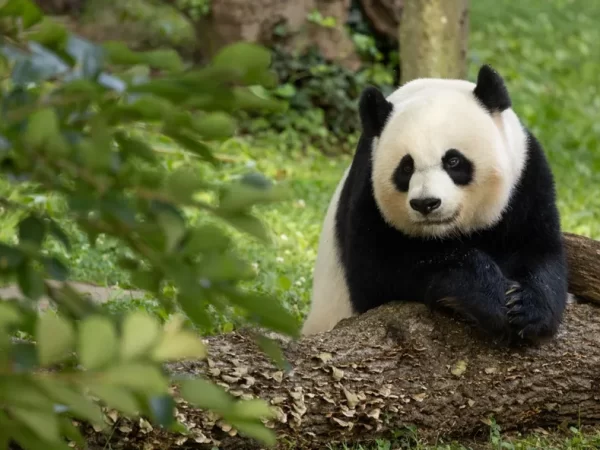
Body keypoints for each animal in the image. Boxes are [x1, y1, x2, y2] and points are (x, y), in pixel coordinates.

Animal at [302, 64, 568, 344]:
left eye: (453, 161)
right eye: (406, 168)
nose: (426, 203)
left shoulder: (526, 178)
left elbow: (539, 249)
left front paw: (527, 310)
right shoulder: (367, 193)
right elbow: (378, 273)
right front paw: (490, 298)